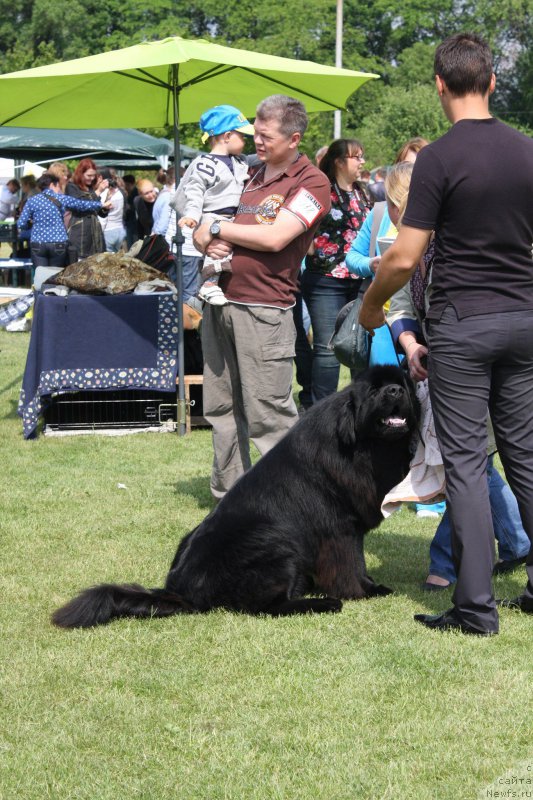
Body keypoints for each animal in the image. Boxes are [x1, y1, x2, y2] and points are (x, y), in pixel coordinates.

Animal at [54, 366, 420, 628]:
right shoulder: (340, 530)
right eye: (374, 391)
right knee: (265, 607)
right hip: (275, 542)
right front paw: (366, 590)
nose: (394, 391)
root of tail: (178, 590)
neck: (361, 445)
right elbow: (351, 565)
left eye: (401, 384)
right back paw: (323, 603)